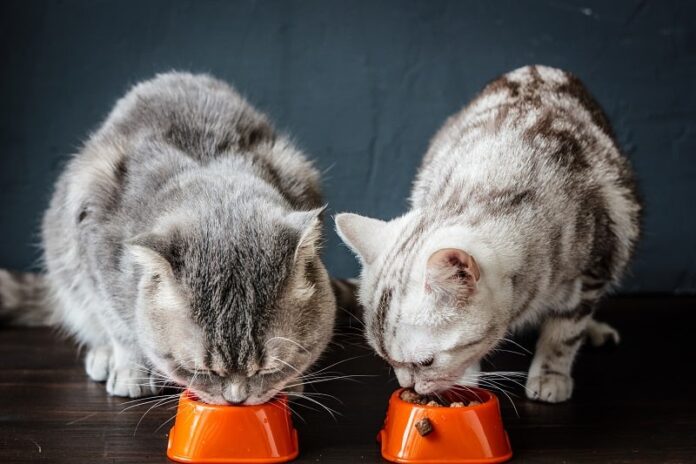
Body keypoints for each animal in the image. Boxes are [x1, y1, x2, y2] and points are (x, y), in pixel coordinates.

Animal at [0, 71, 338, 402]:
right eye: (200, 370)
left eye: (270, 369)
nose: (236, 399)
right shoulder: (95, 247)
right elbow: (119, 325)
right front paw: (131, 368)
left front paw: (290, 382)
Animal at [334, 64, 640, 402]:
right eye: (385, 358)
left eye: (426, 362)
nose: (408, 386)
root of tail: (538, 66)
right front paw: (466, 378)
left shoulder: (594, 266)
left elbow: (565, 332)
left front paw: (551, 373)